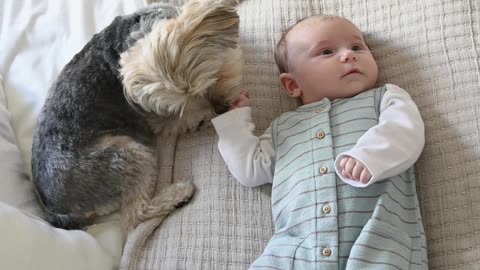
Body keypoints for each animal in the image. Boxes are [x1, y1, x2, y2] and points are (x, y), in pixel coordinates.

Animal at [31, 0, 242, 230]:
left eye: (212, 74)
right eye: (185, 100)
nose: (221, 110)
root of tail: (54, 209)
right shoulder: (158, 118)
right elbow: (182, 119)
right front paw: (202, 119)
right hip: (126, 155)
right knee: (135, 215)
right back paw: (179, 195)